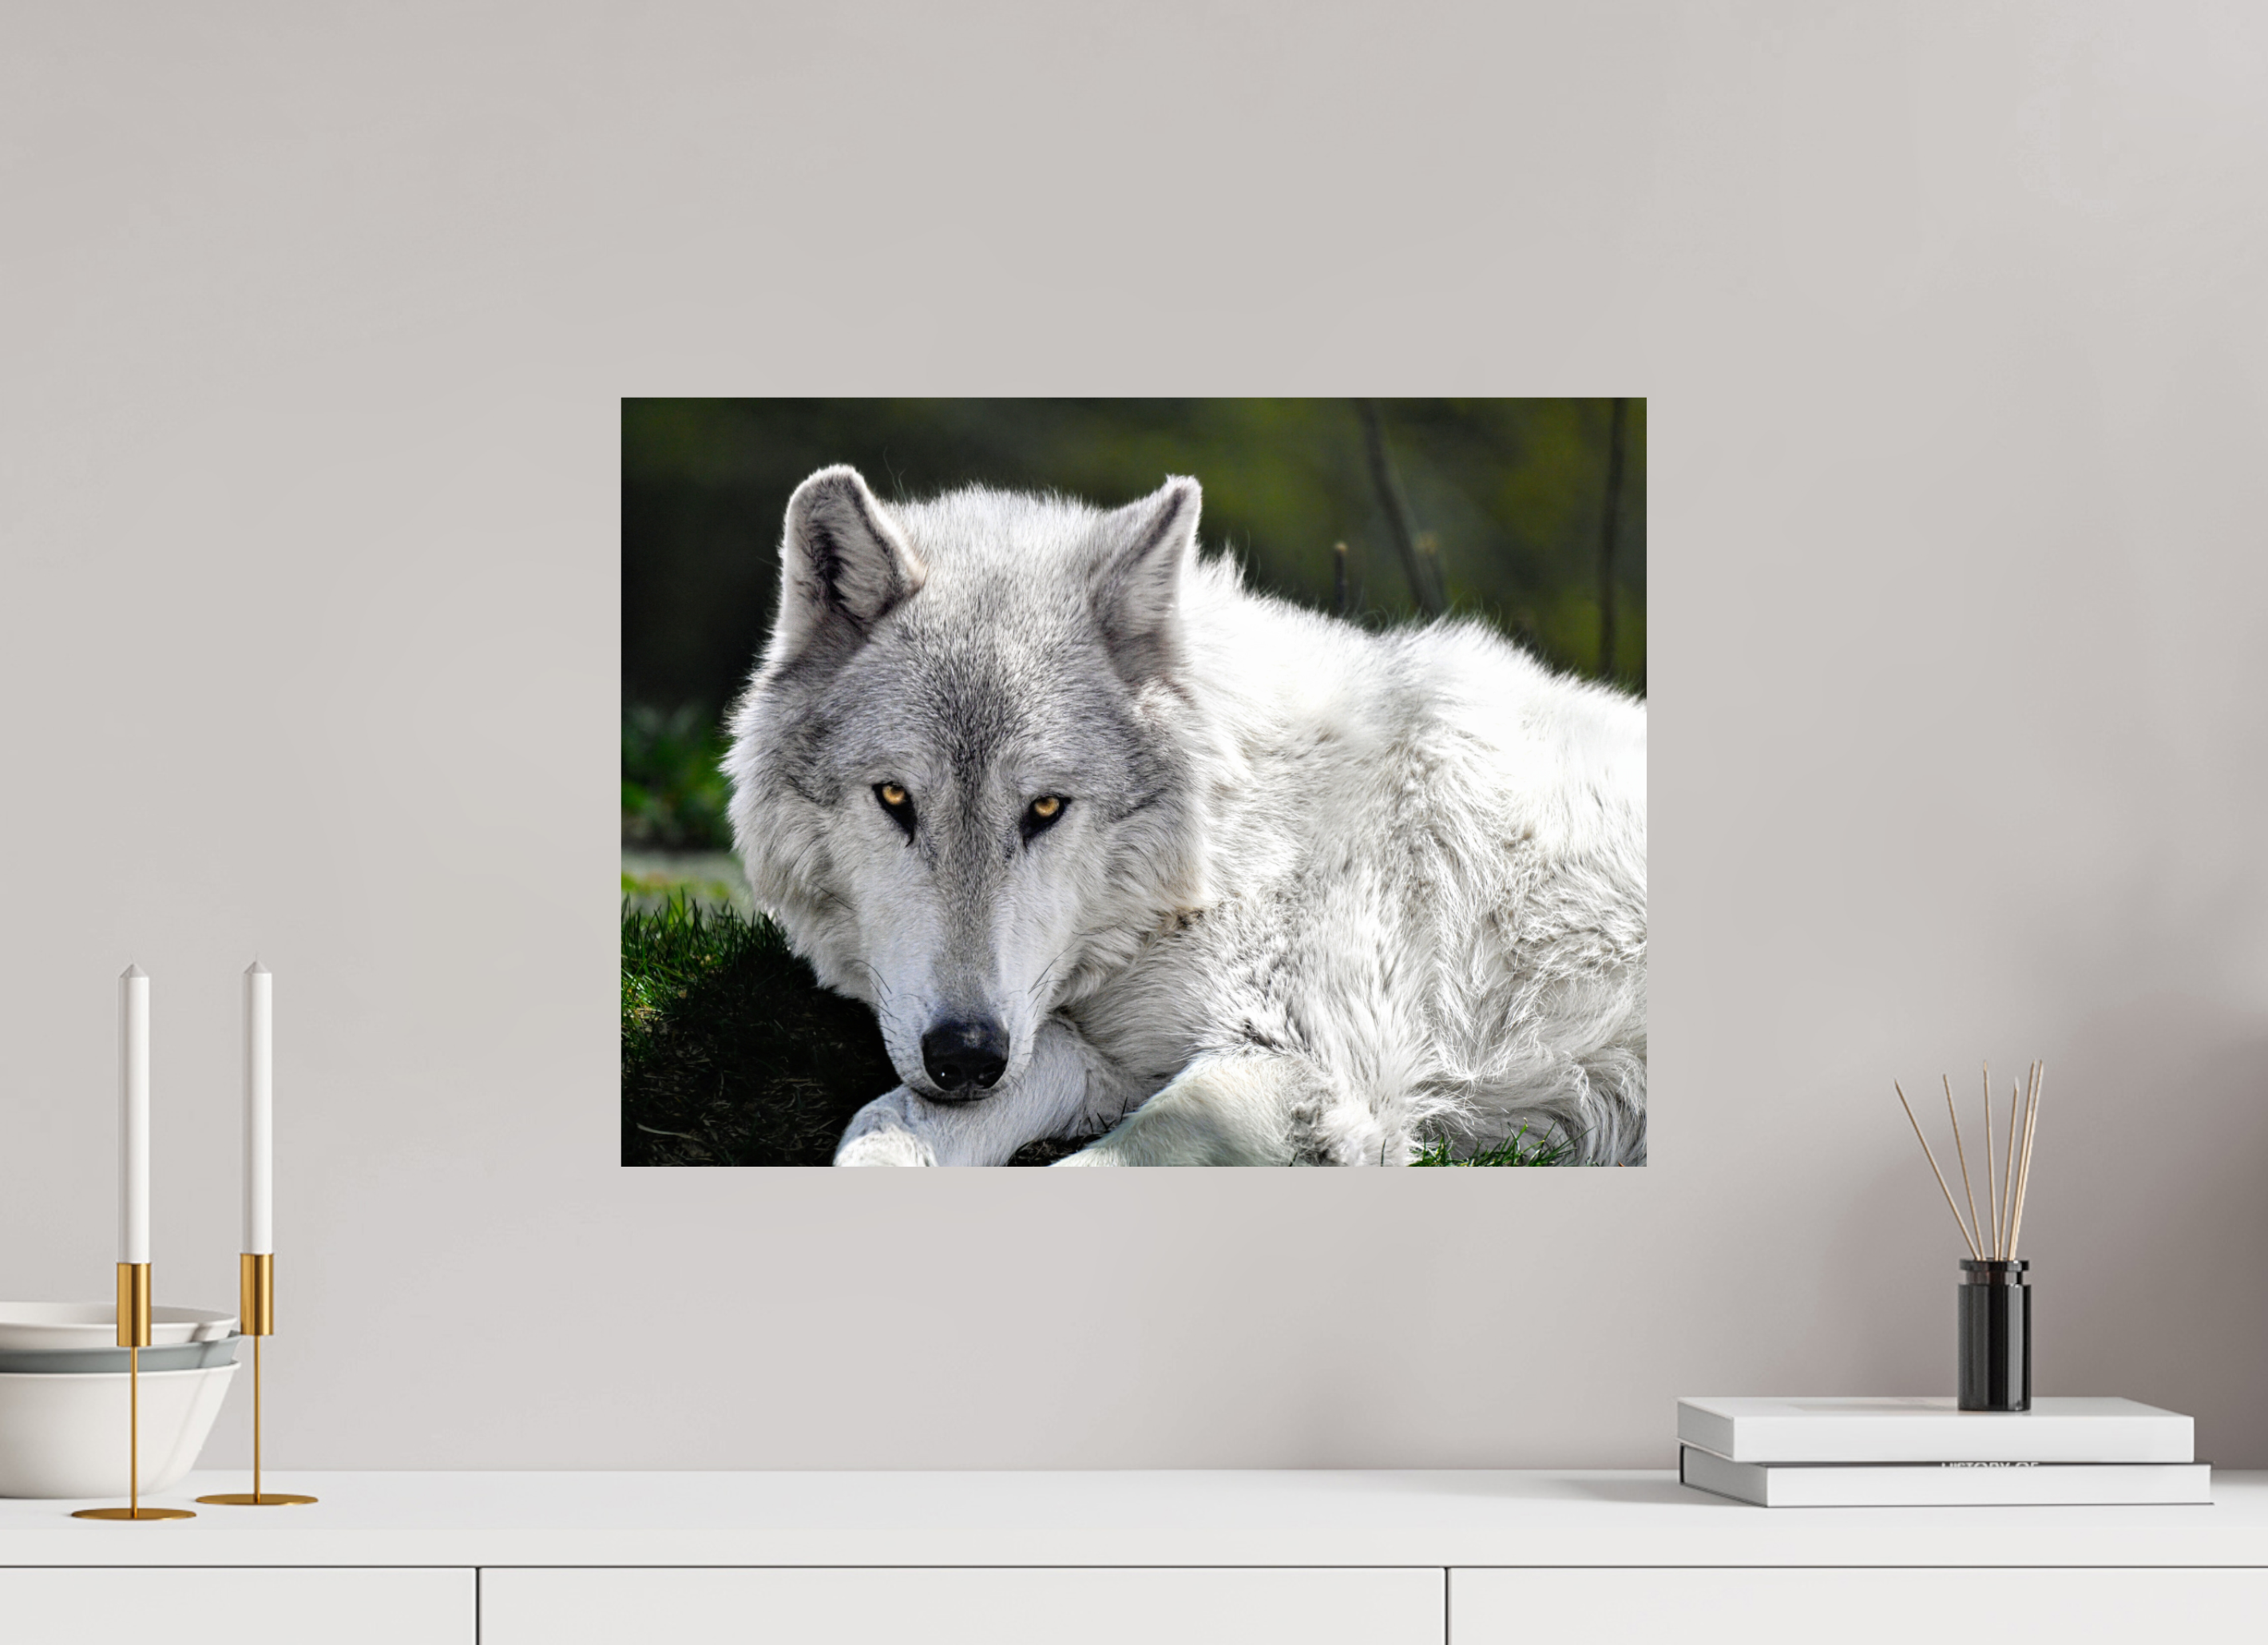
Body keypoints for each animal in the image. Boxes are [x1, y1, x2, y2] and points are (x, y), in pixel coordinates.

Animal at [724, 466, 1647, 1166]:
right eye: (894, 799)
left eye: (1045, 807)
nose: (965, 1056)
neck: (1222, 851)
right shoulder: (1086, 1047)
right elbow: (885, 1124)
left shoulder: (1306, 1076)